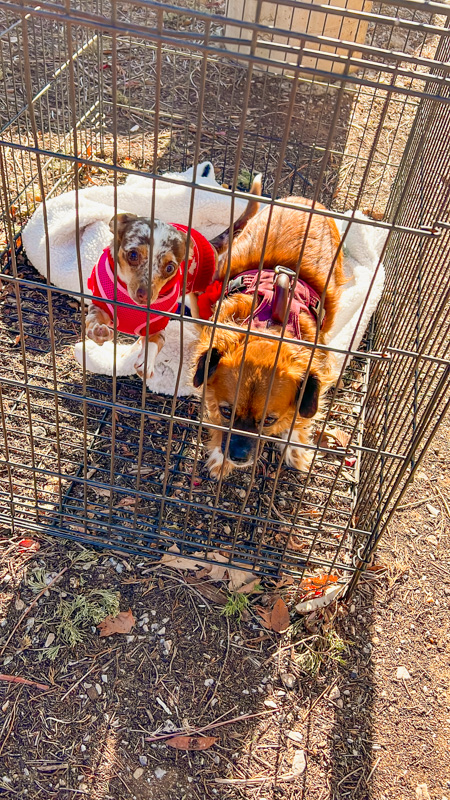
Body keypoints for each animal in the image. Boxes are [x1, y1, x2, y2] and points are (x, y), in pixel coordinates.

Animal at [192, 195, 344, 478]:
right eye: (227, 411)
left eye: (269, 420)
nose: (238, 457)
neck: (268, 326)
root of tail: (304, 200)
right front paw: (220, 456)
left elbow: (298, 419)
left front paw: (294, 449)